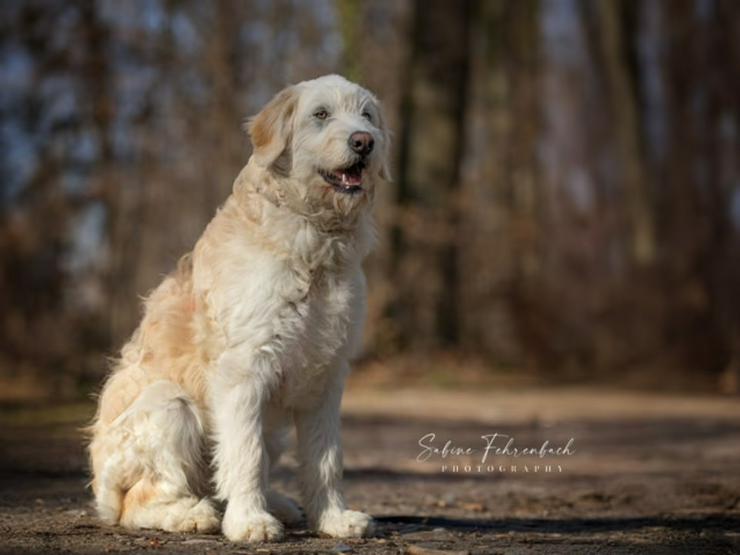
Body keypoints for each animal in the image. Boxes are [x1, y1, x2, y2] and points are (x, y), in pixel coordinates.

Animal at [89, 74, 390, 544]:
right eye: (321, 114)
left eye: (367, 115)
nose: (364, 142)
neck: (314, 241)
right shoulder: (245, 369)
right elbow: (245, 453)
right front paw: (249, 521)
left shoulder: (326, 373)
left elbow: (325, 459)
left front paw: (333, 519)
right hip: (169, 408)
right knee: (138, 503)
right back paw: (192, 514)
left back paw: (276, 504)